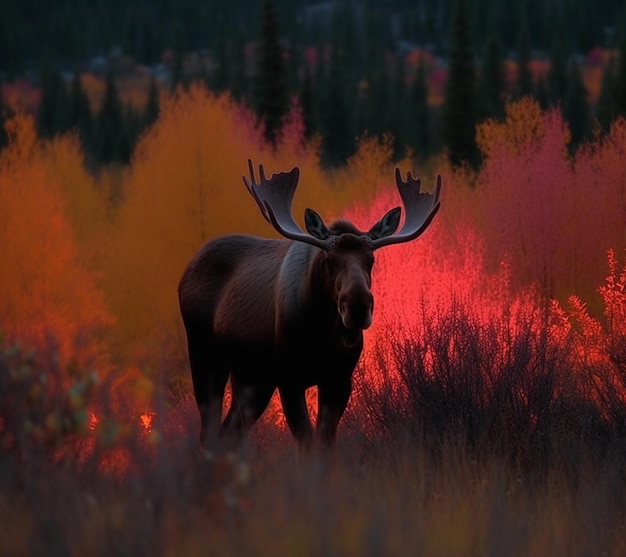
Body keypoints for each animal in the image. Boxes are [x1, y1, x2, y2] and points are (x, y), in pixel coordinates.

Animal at [177, 159, 438, 450]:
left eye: (371, 259)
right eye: (328, 259)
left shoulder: (338, 379)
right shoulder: (289, 378)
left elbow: (325, 444)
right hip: (206, 356)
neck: (321, 333)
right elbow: (306, 443)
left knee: (231, 430)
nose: (358, 306)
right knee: (209, 431)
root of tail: (188, 268)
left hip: (252, 375)